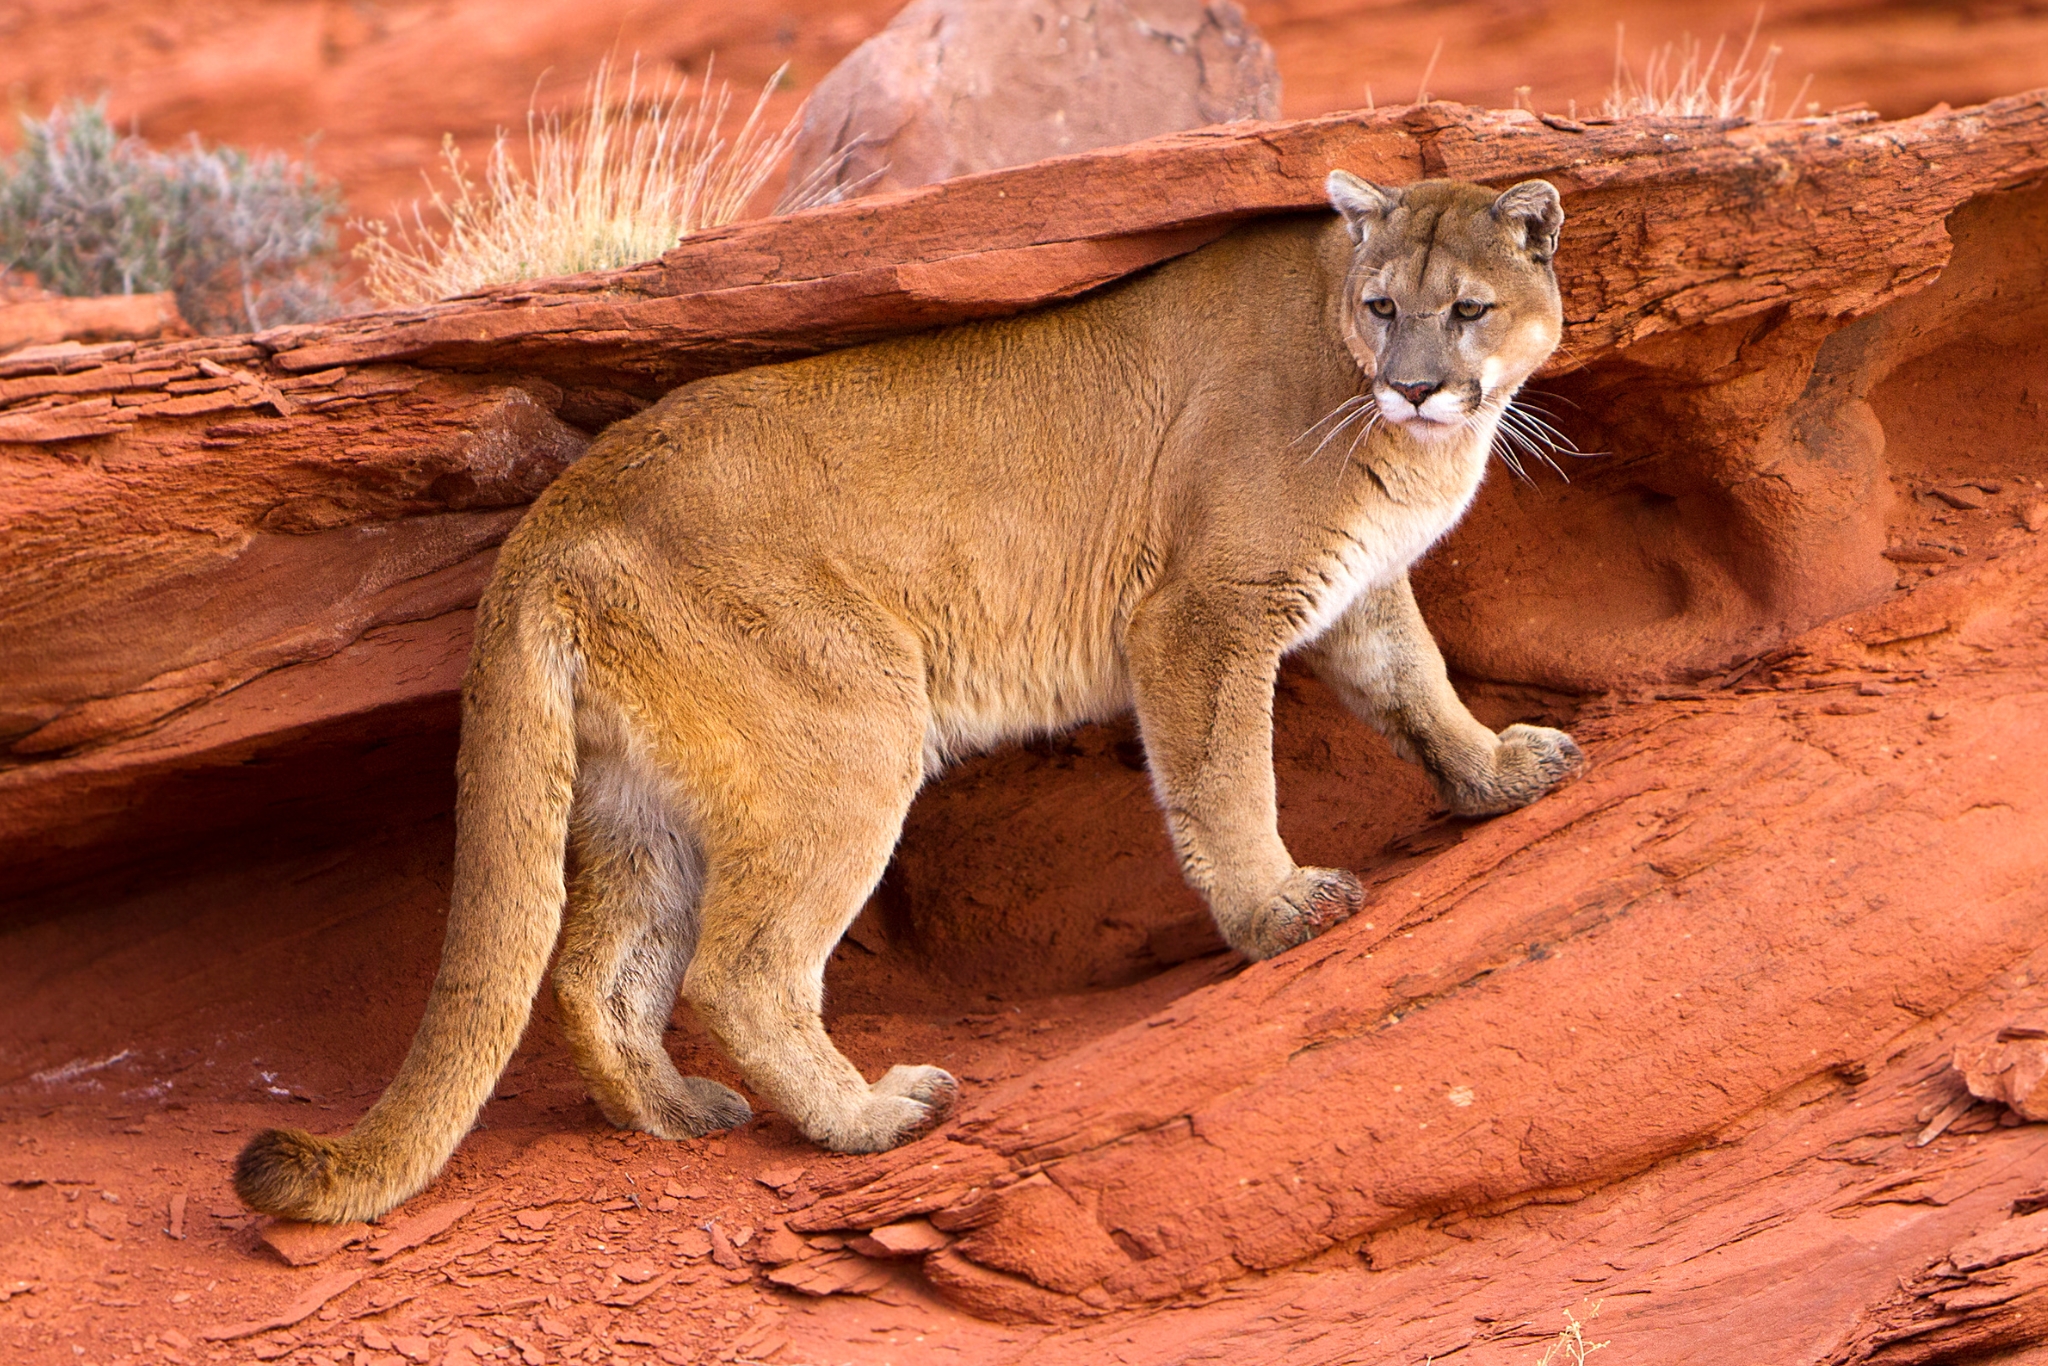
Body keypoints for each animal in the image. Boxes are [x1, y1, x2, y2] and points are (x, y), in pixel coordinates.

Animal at [234, 172, 1584, 1223]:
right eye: (1382, 308)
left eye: (1465, 310)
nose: (1414, 386)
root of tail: (553, 512)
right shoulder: (1198, 613)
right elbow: (1225, 779)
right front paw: (1275, 910)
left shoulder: (1348, 593)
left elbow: (1418, 686)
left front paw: (1495, 773)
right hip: (849, 733)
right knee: (740, 971)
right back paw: (871, 1117)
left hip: (638, 796)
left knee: (593, 973)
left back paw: (675, 1114)